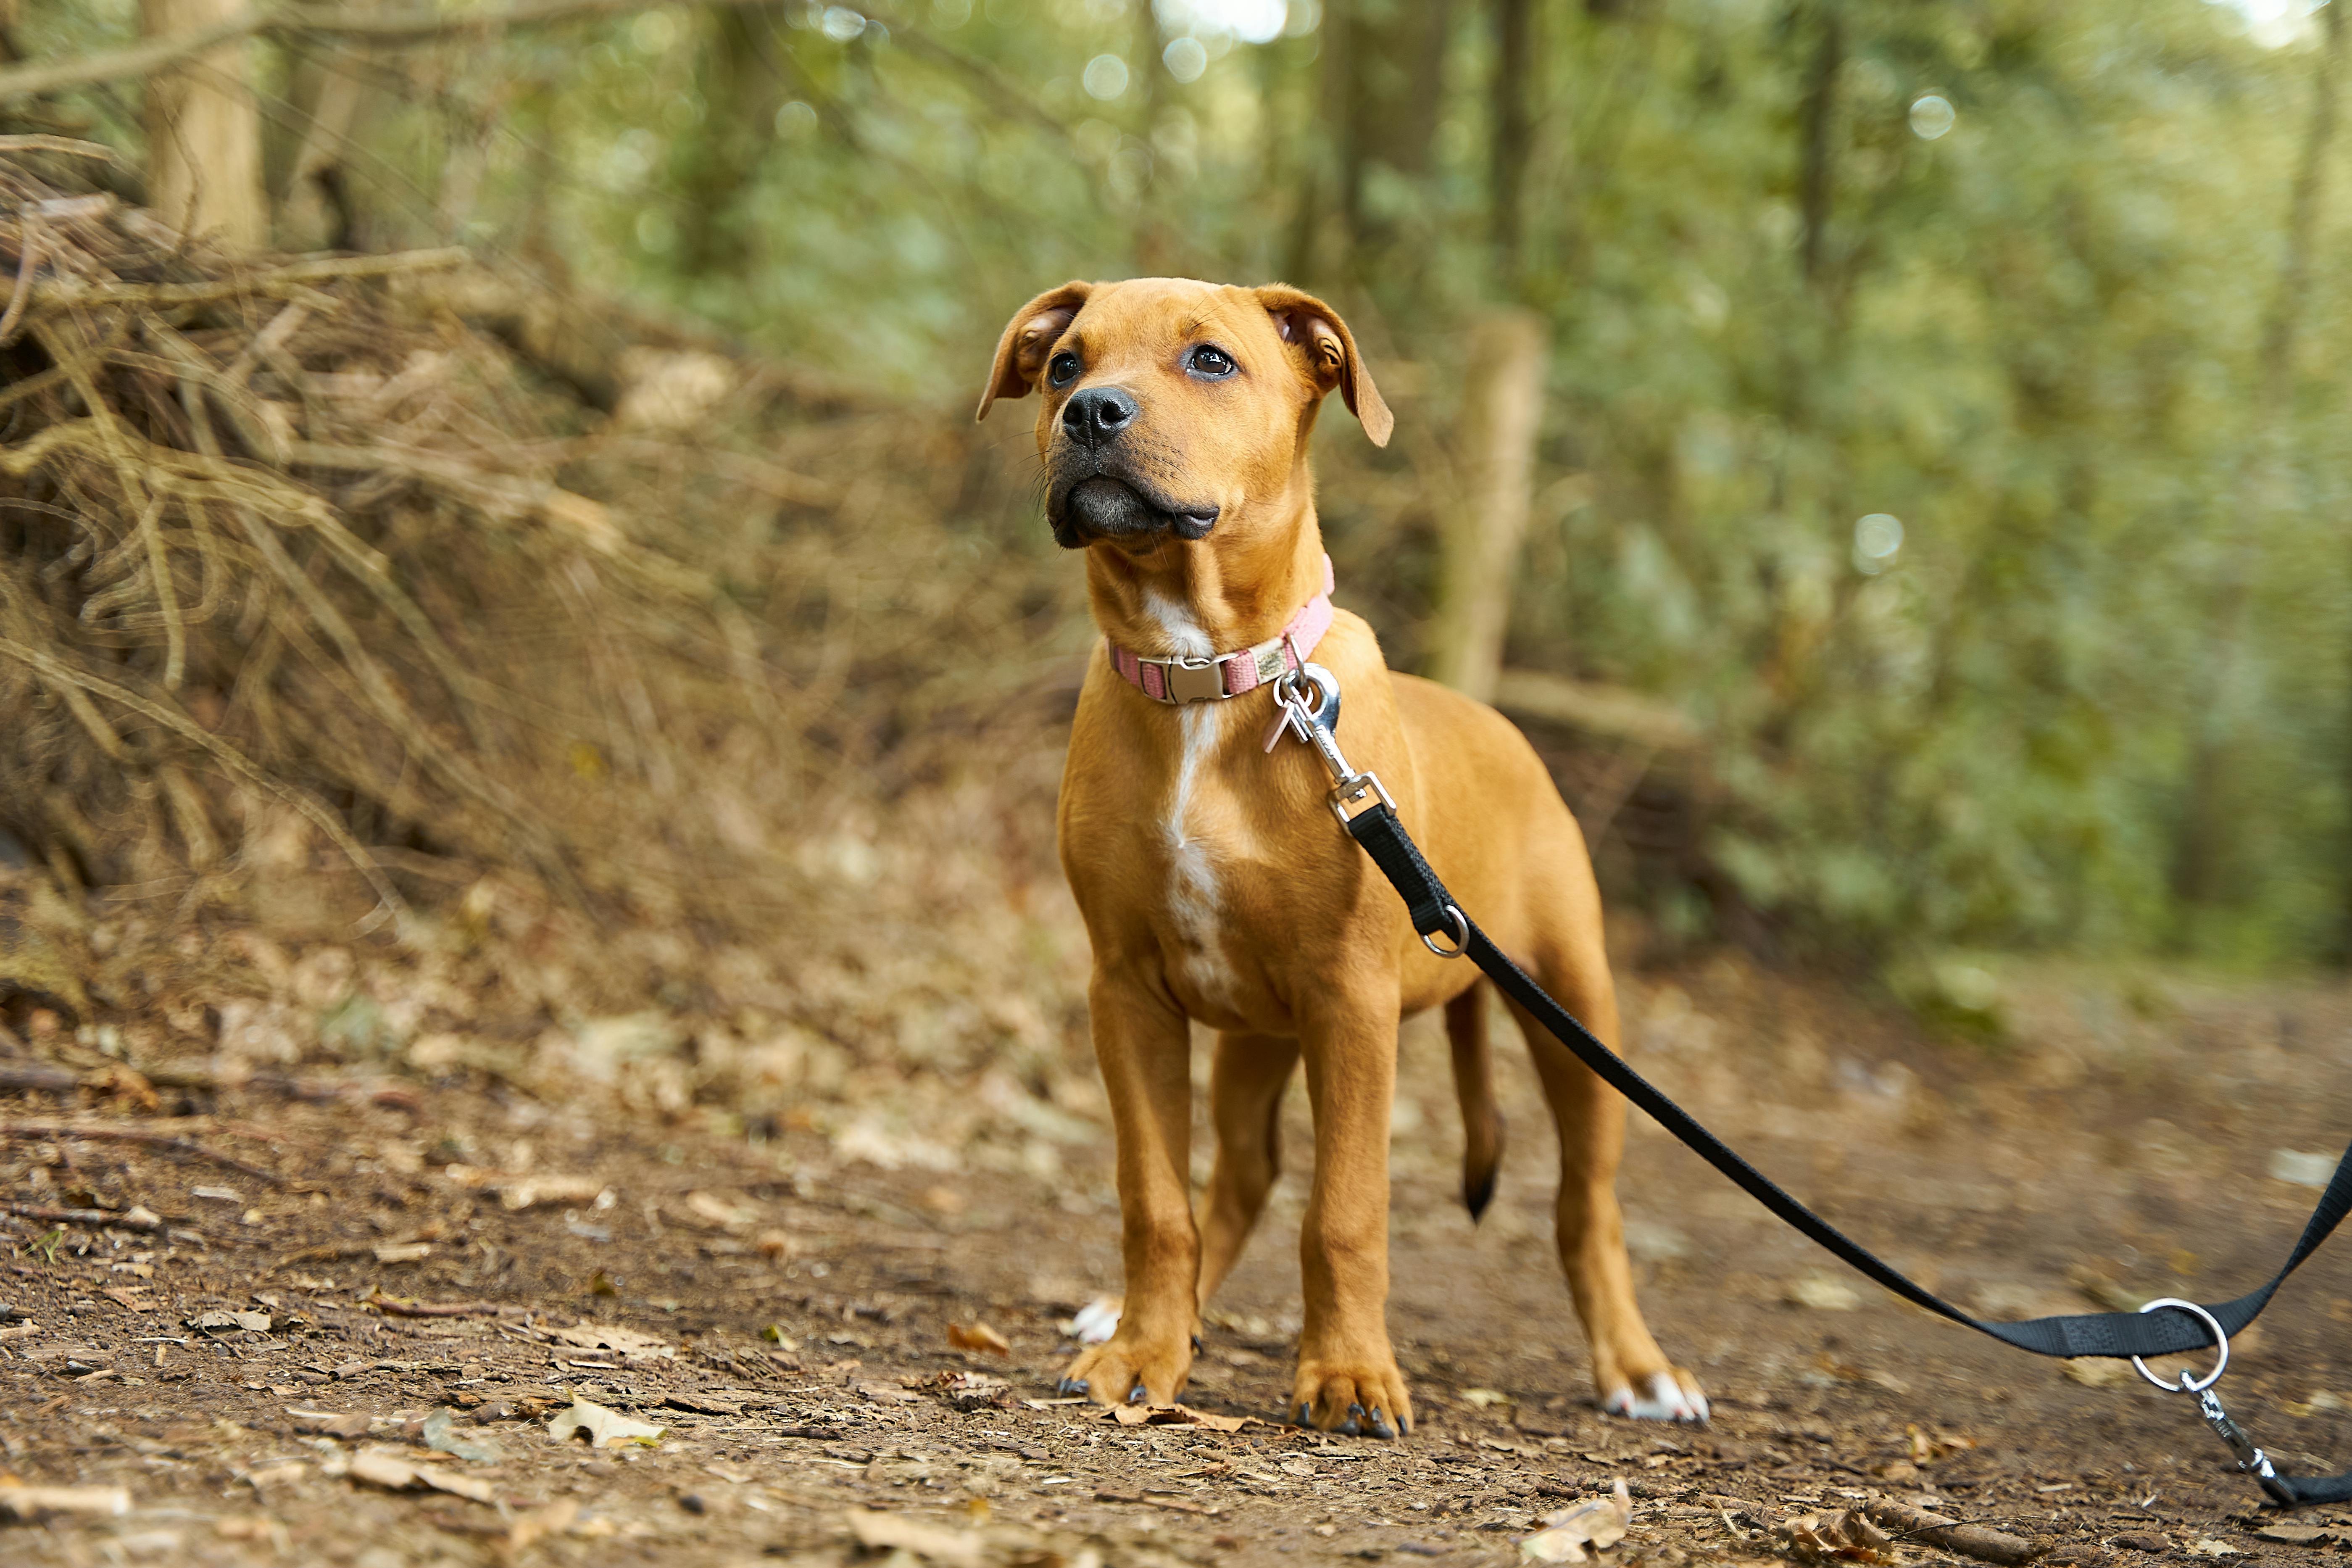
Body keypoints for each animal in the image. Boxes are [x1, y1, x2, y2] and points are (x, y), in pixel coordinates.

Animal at [974, 278, 1712, 1439]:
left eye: (1210, 360)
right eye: (1062, 366)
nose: (1091, 411)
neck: (1211, 675)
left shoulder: (1350, 1001)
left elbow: (1345, 1210)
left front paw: (1350, 1375)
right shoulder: (1127, 990)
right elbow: (1155, 1199)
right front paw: (1141, 1352)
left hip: (1574, 1009)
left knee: (1583, 1206)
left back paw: (1638, 1370)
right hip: (1253, 1030)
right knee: (1238, 1175)